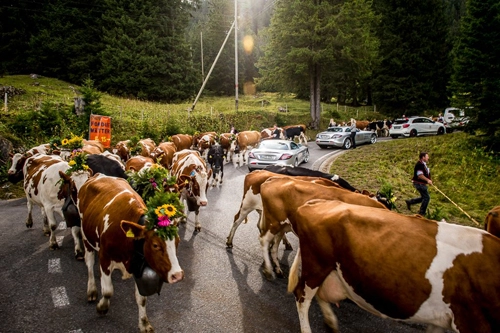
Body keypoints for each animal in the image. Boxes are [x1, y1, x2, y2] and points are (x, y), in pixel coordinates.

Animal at [74, 174, 184, 332]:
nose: (178, 275)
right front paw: (102, 307)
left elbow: (142, 299)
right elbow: (108, 291)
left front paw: (144, 323)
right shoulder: (104, 258)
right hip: (86, 236)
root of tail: (99, 175)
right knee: (89, 263)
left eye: (177, 241)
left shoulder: (137, 265)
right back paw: (92, 290)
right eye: (155, 245)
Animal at [260, 176, 388, 278]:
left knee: (274, 246)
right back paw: (268, 270)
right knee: (263, 240)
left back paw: (277, 269)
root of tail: (274, 178)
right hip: (273, 222)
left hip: (283, 225)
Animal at [288, 198, 500, 332]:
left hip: (326, 269)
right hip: (316, 265)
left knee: (319, 295)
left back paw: (331, 322)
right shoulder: (472, 321)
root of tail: (317, 202)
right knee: (301, 297)